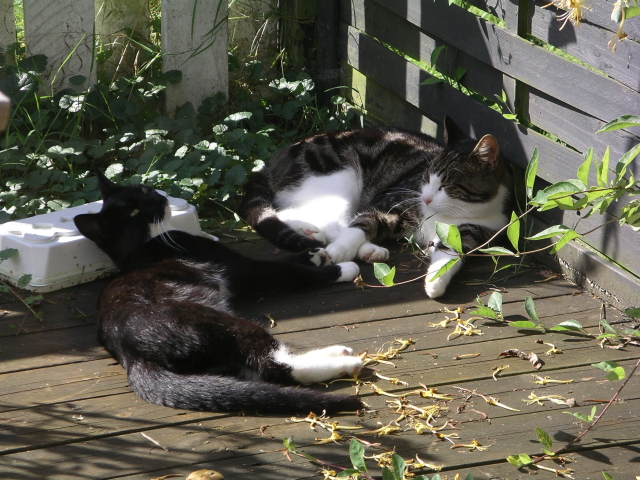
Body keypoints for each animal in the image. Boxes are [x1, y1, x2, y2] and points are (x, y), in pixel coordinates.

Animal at [73, 171, 364, 414]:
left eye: (144, 189)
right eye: (133, 212)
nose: (158, 196)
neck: (144, 244)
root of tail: (134, 354)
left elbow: (289, 261)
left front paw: (315, 253)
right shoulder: (241, 270)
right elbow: (284, 270)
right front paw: (343, 268)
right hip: (221, 322)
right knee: (273, 366)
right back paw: (344, 361)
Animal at [240, 117, 512, 298]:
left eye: (446, 185)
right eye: (426, 177)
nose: (425, 198)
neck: (449, 213)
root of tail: (269, 164)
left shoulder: (470, 233)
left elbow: (450, 256)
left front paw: (435, 282)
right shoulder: (390, 204)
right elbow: (361, 224)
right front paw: (340, 251)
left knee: (291, 212)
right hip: (339, 180)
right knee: (334, 221)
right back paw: (357, 247)